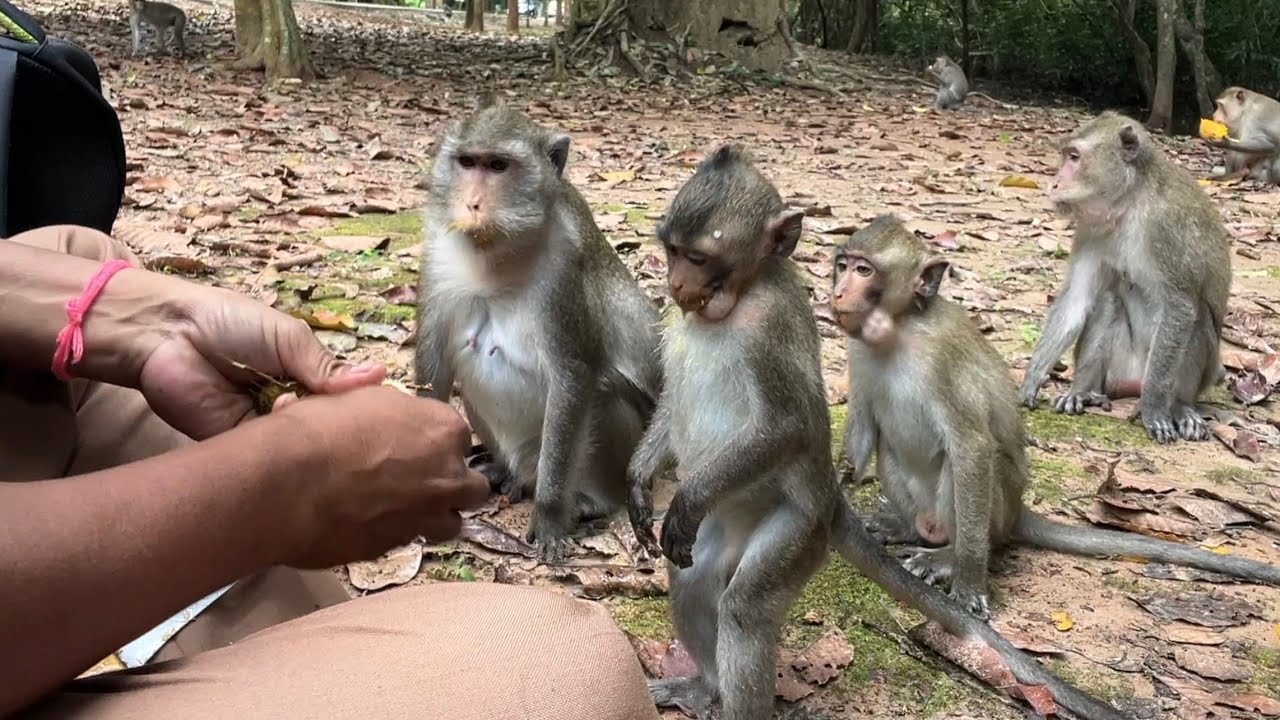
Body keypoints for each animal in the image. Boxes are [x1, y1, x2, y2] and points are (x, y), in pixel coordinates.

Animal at [414, 98, 662, 563]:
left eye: (498, 166)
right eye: (467, 163)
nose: (472, 204)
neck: (497, 257)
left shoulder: (563, 276)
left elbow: (573, 378)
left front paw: (548, 518)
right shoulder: (438, 252)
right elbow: (435, 365)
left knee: (604, 392)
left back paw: (587, 501)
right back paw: (502, 472)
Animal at [626, 145, 1129, 720]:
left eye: (700, 258)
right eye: (672, 252)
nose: (676, 285)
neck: (738, 300)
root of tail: (829, 499)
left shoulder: (770, 329)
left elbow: (784, 426)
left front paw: (686, 498)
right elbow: (671, 404)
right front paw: (638, 483)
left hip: (799, 528)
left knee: (744, 608)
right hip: (727, 523)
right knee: (691, 578)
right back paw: (705, 688)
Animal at [832, 213, 1279, 627]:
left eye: (864, 270)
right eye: (843, 264)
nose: (837, 291)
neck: (901, 329)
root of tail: (1017, 512)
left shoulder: (942, 360)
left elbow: (971, 449)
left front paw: (968, 580)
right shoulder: (859, 351)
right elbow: (864, 434)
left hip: (998, 508)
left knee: (964, 473)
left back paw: (947, 555)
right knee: (892, 450)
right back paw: (905, 527)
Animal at [1019, 112, 1232, 444]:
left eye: (1074, 157)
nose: (1053, 183)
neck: (1130, 203)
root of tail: (1132, 384)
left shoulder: (1165, 227)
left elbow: (1180, 306)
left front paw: (1154, 409)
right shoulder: (1091, 229)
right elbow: (1077, 299)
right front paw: (1033, 378)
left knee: (1195, 320)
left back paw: (1178, 406)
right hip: (1119, 371)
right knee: (1107, 302)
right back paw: (1083, 392)